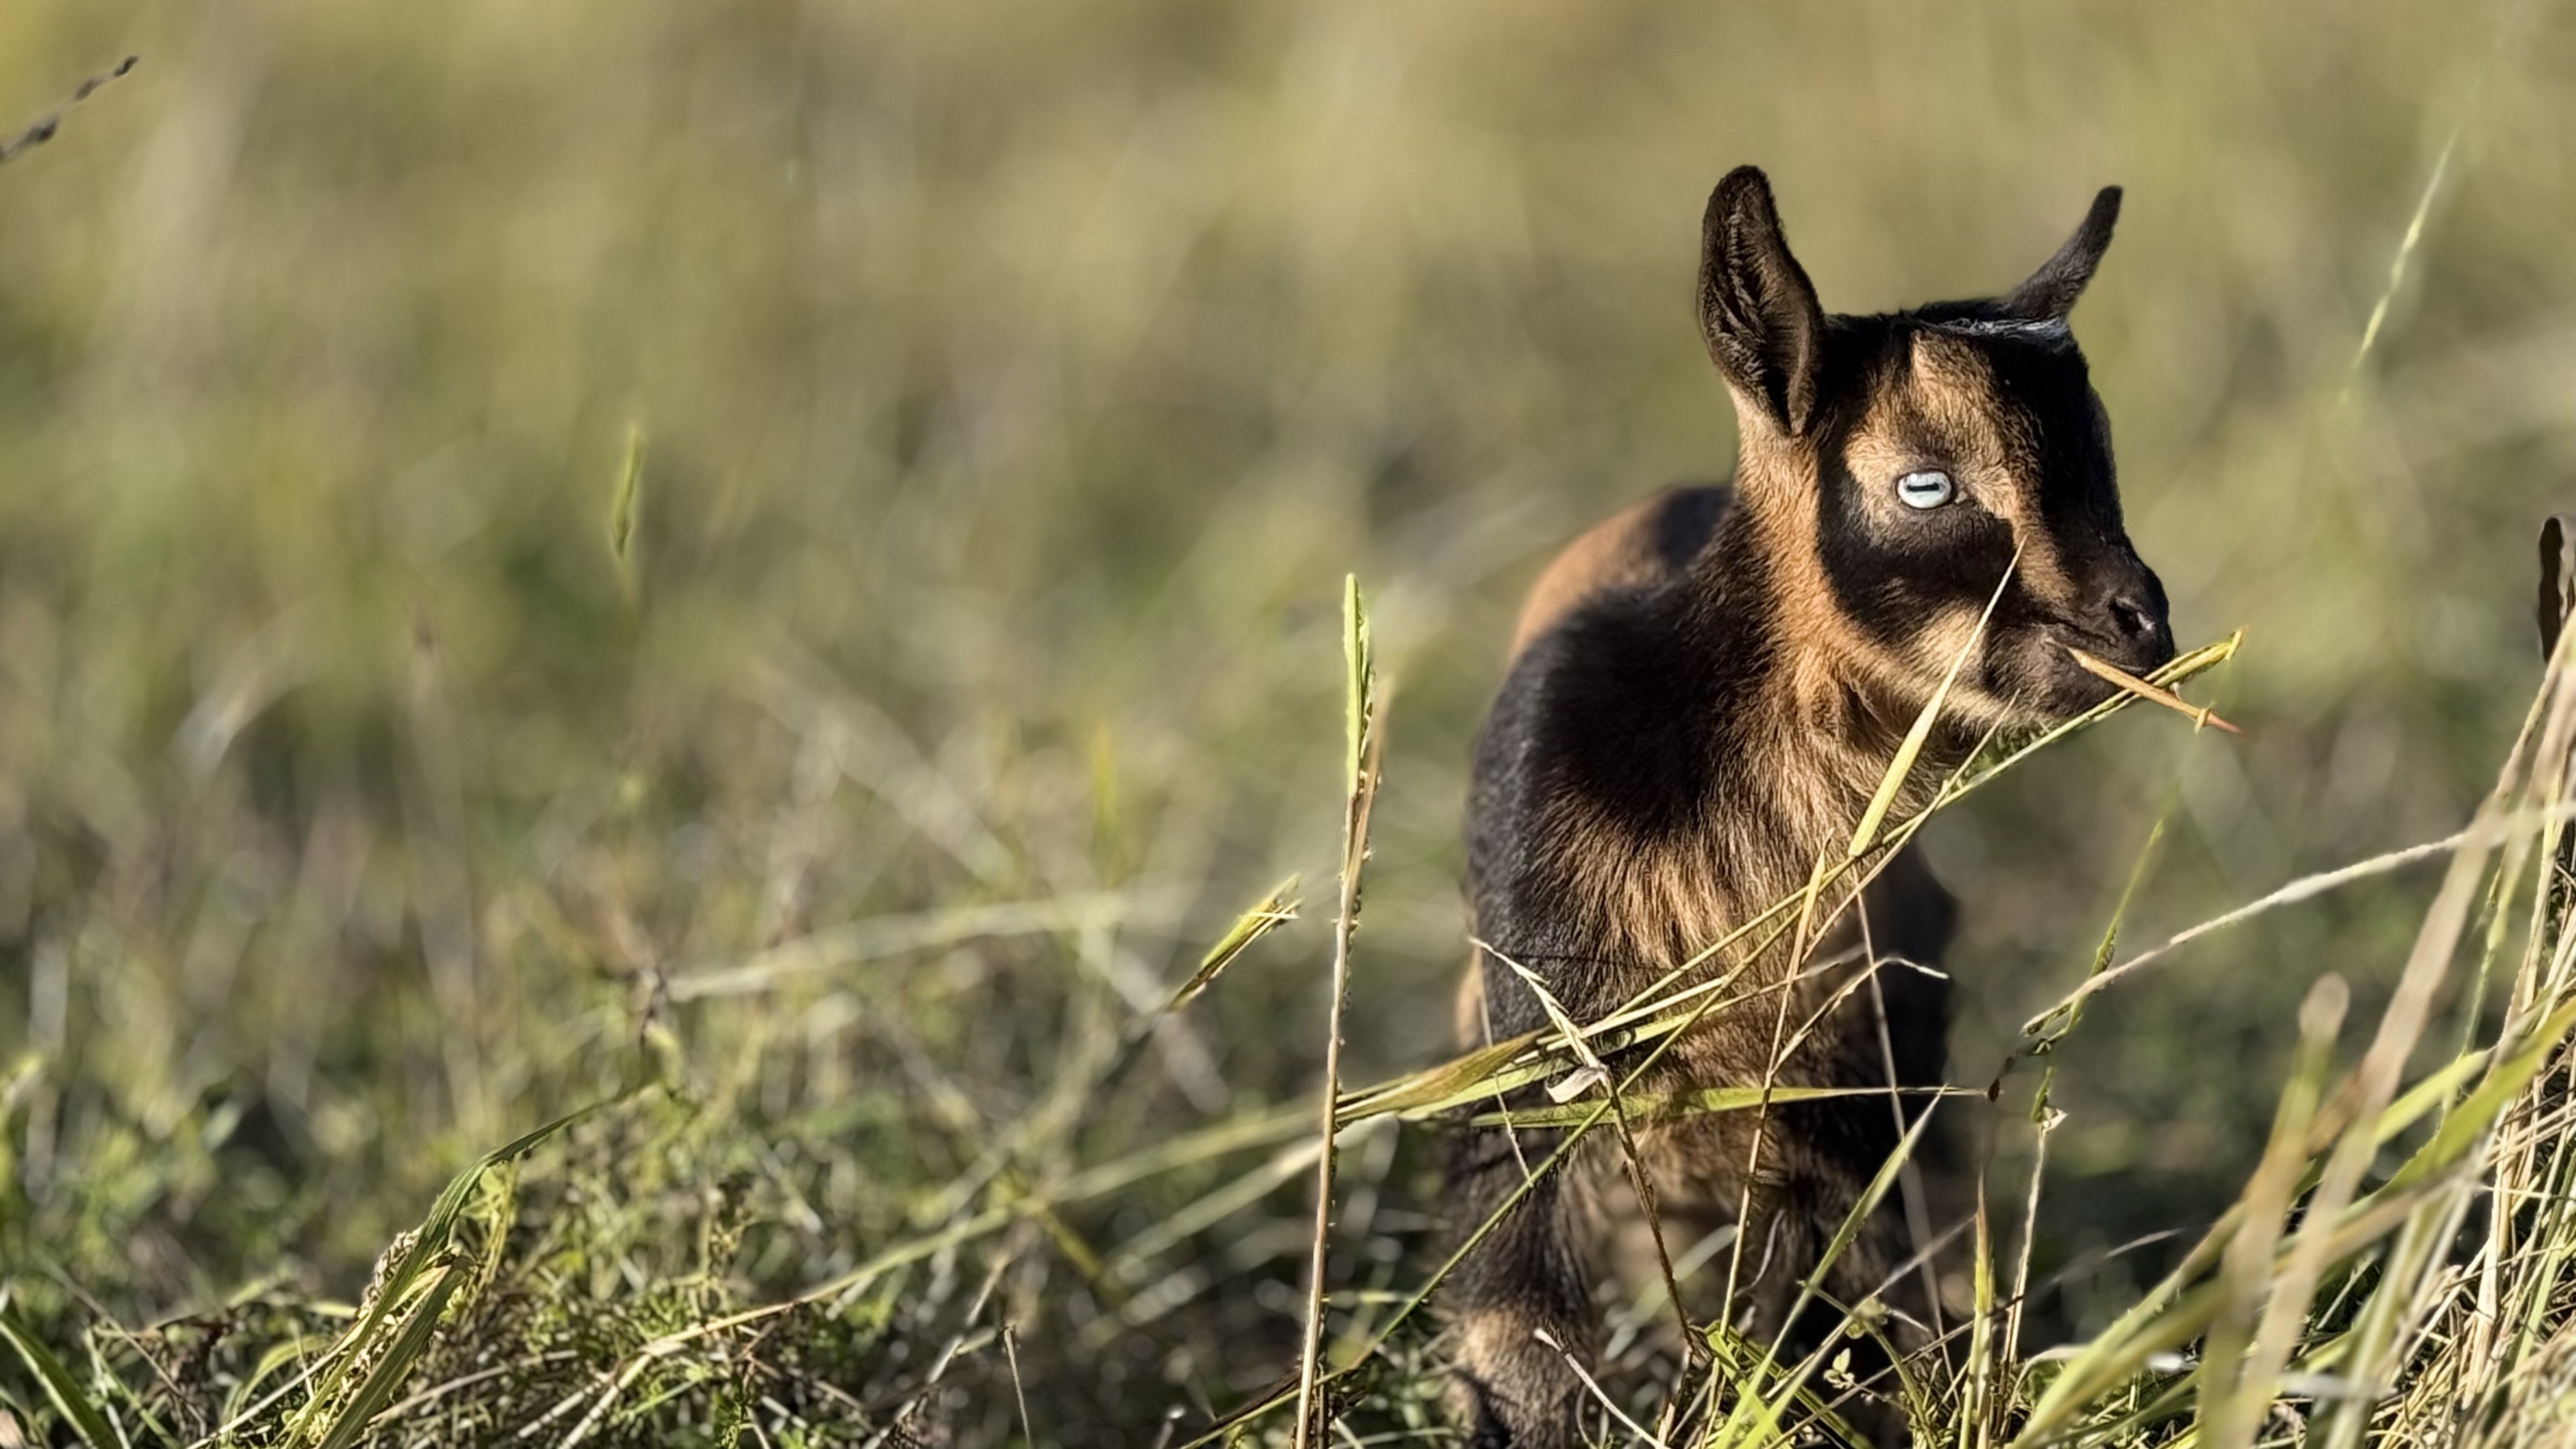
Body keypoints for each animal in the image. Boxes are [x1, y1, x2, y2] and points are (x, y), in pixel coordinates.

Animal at [1445, 167, 2174, 1446]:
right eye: (1926, 483)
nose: (2141, 624)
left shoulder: (1850, 1085)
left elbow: (1836, 1313)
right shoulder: (1534, 1049)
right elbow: (1519, 1326)